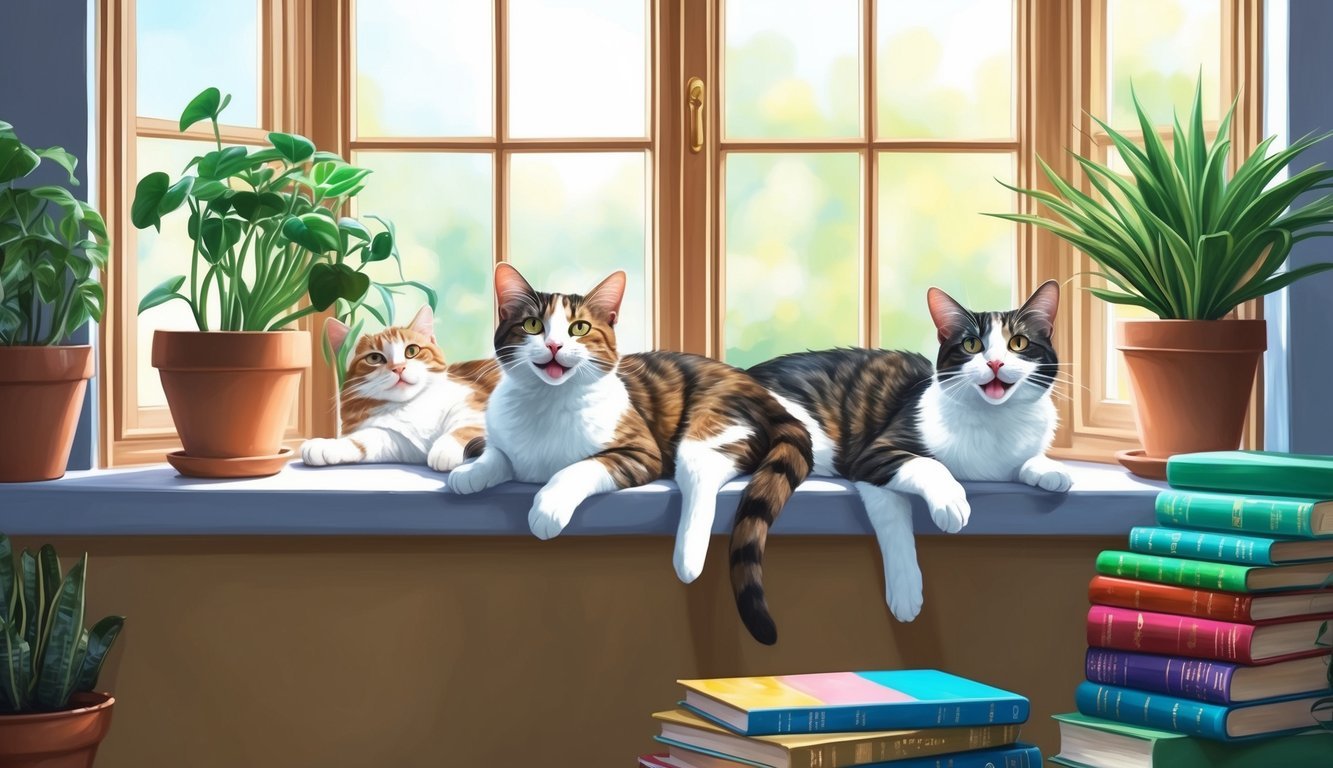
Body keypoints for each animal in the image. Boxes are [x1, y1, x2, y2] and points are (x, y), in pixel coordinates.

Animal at [299, 308, 498, 474]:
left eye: (411, 350)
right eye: (374, 358)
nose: (399, 367)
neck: (411, 405)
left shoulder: (473, 402)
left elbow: (466, 426)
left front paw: (445, 449)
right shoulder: (400, 442)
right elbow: (364, 440)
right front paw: (326, 445)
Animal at [447, 264, 810, 642]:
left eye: (580, 328)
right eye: (532, 325)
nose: (554, 344)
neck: (547, 403)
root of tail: (757, 388)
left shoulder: (639, 452)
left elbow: (574, 469)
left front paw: (548, 507)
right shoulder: (506, 442)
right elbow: (498, 454)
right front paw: (470, 473)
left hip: (709, 425)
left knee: (701, 476)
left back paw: (688, 559)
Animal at [751, 282, 1071, 624]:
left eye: (1018, 343)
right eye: (971, 344)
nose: (995, 363)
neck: (994, 422)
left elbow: (1024, 460)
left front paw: (1050, 469)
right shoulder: (872, 456)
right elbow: (919, 480)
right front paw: (907, 588)